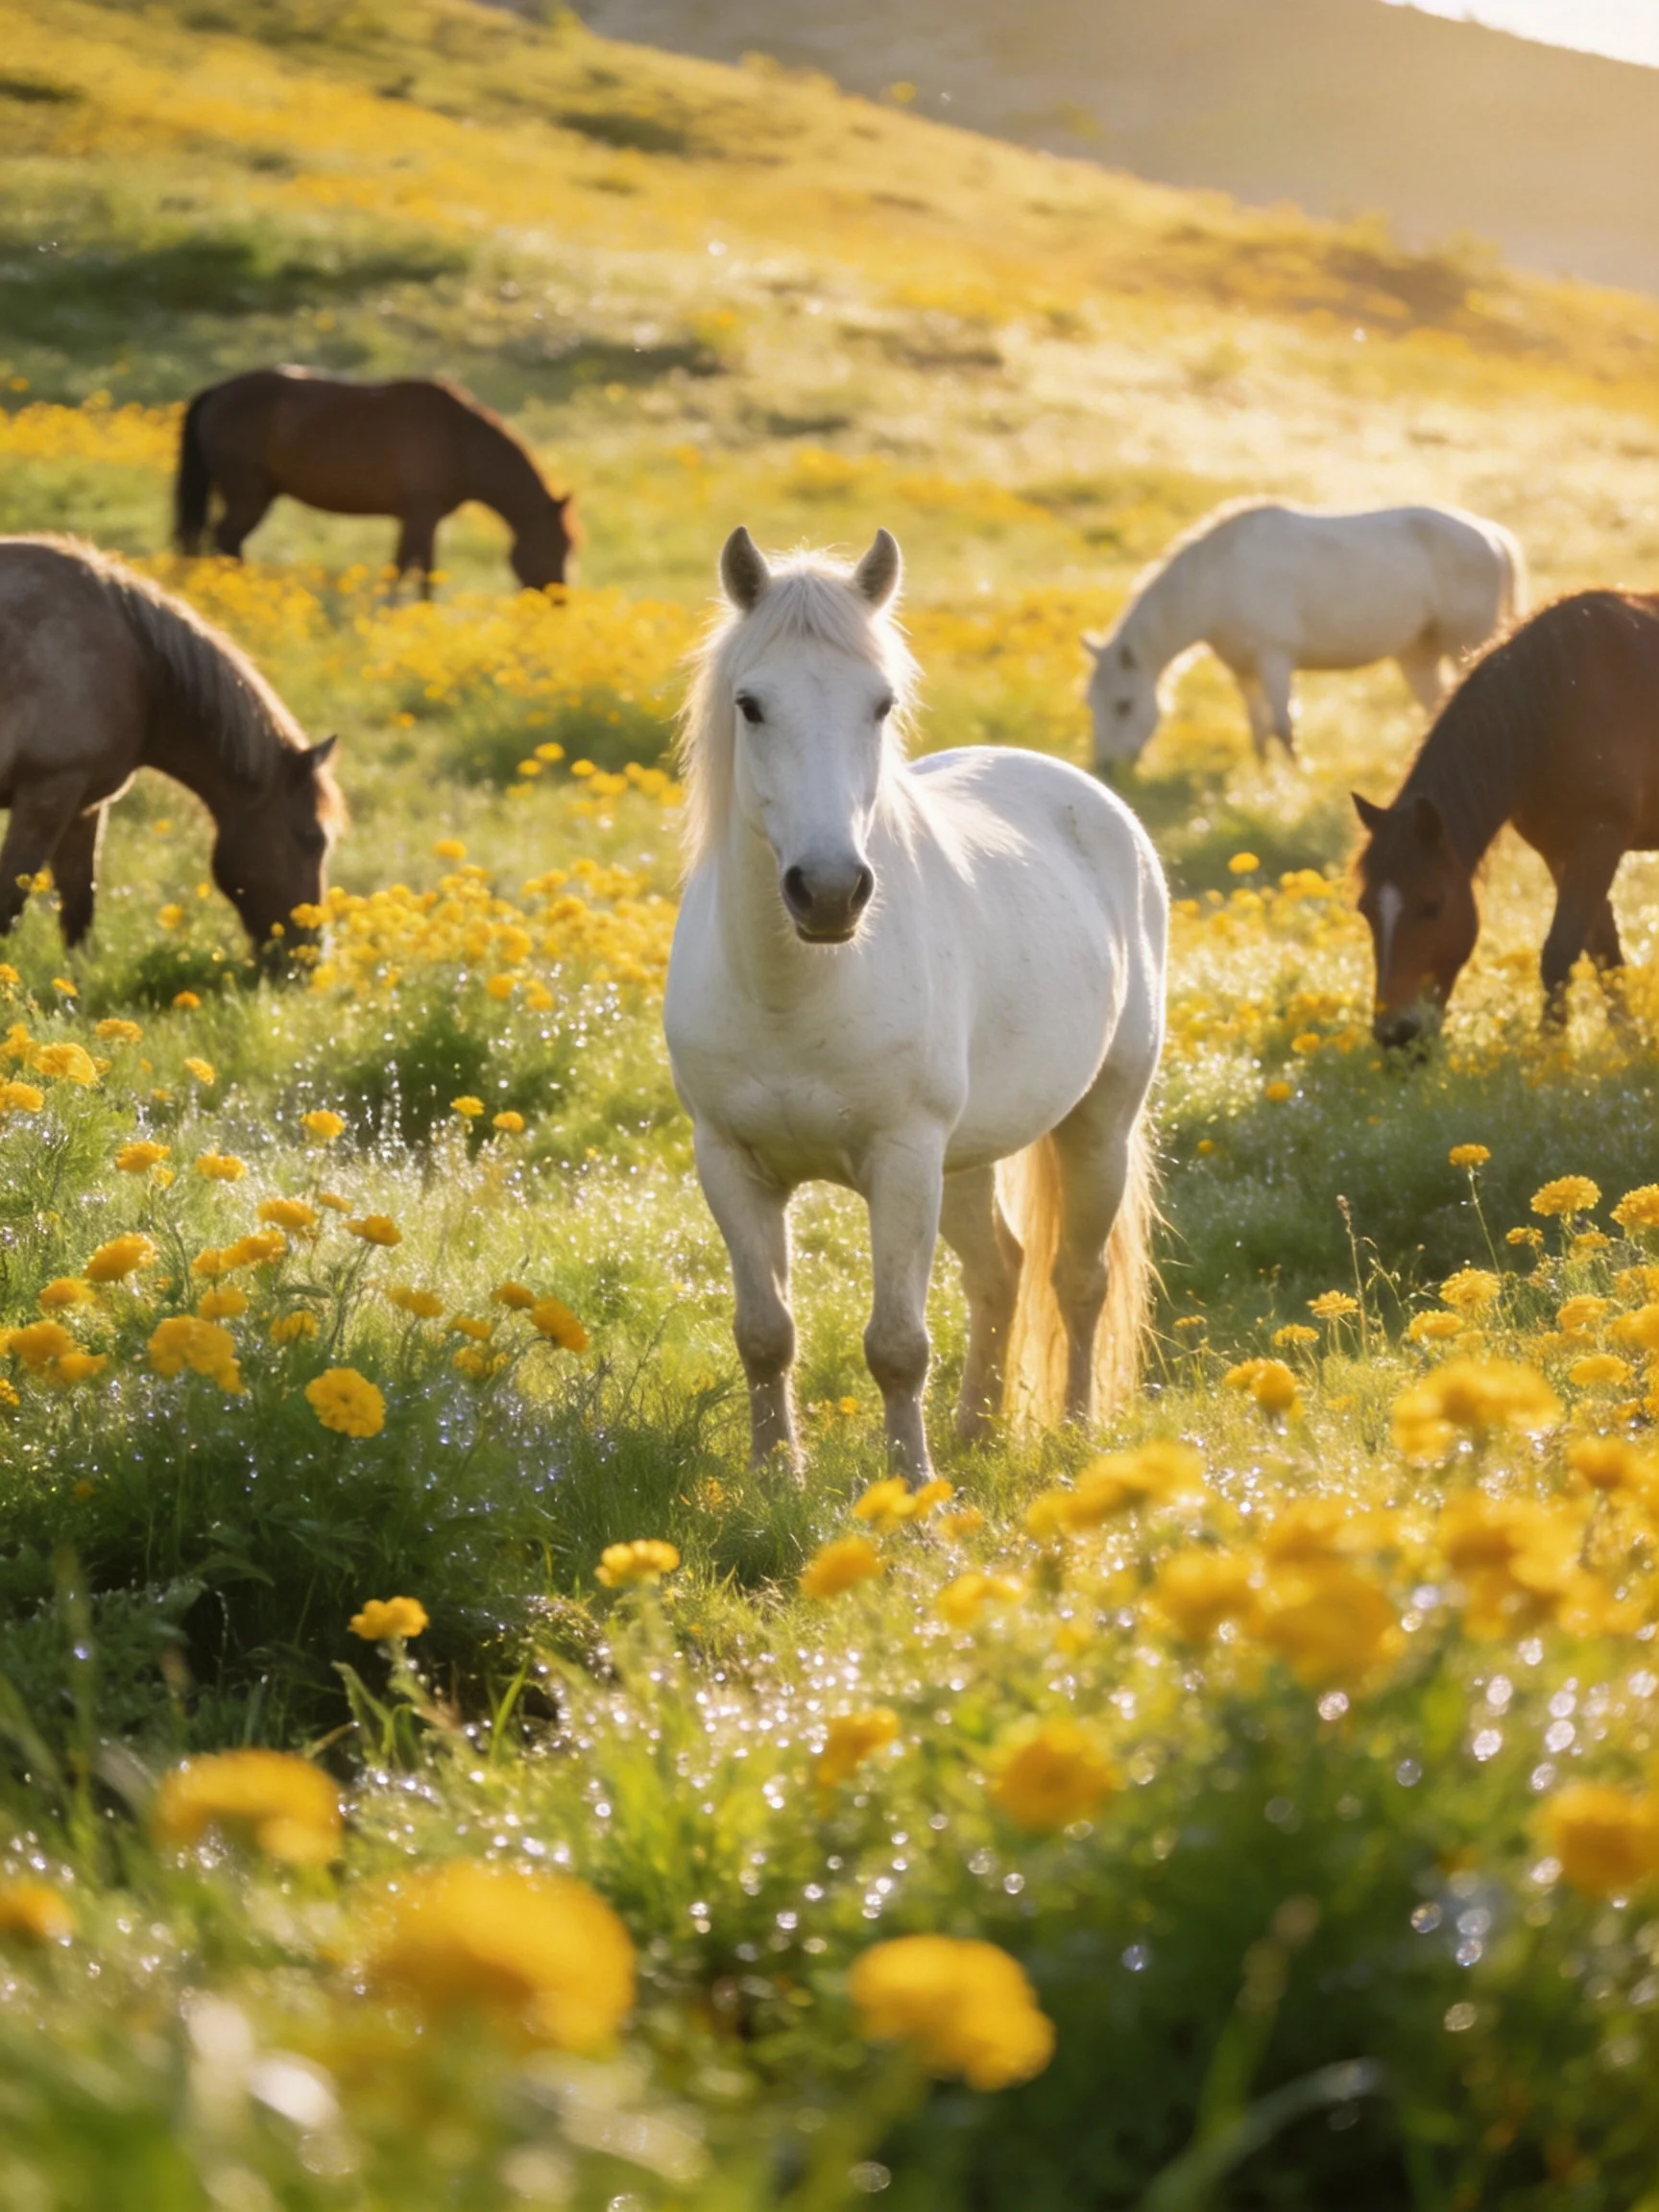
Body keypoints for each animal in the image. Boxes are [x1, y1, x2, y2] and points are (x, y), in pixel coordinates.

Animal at [0, 537, 344, 960]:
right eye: (312, 838)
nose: (310, 956)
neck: (137, 662)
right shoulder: (46, 795)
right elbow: (9, 905)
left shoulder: (84, 806)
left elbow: (79, 912)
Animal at [174, 368, 575, 595]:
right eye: (560, 545)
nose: (557, 601)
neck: (461, 439)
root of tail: (216, 392)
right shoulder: (420, 513)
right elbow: (406, 568)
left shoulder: (423, 518)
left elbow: (422, 568)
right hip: (249, 495)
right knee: (226, 539)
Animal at [663, 527, 1167, 1483]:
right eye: (750, 704)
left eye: (880, 704)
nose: (828, 891)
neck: (795, 994)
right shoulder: (730, 1163)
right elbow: (764, 1333)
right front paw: (774, 1475)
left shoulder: (901, 1162)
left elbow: (897, 1345)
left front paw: (911, 1489)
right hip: (966, 1156)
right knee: (1000, 1271)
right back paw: (976, 1430)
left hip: (1097, 1124)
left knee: (1076, 1279)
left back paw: (1074, 1431)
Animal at [1086, 500, 1525, 769]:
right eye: (1091, 703)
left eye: (1124, 705)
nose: (1108, 769)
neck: (1217, 578)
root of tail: (1493, 536)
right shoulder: (1242, 670)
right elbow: (1258, 730)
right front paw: (1263, 781)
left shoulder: (1274, 658)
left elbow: (1284, 727)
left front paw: (1295, 781)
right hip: (1417, 655)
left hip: (1466, 644)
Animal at [1353, 590, 1659, 1049]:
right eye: (1366, 909)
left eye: (1433, 905)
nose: (1396, 1035)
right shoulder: (1562, 851)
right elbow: (1603, 949)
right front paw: (1625, 1041)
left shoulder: (1601, 840)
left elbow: (1561, 951)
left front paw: (1550, 1050)